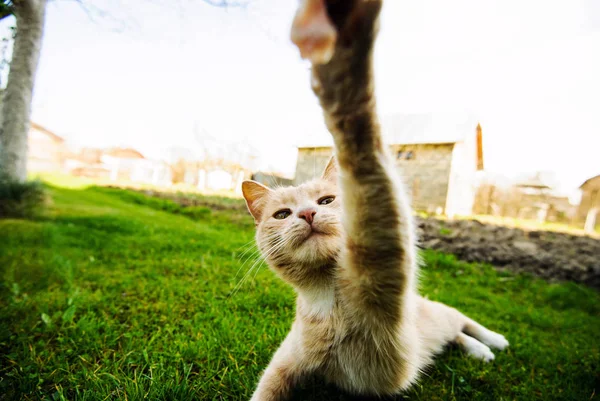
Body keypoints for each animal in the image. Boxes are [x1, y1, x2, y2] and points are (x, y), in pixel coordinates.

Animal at [241, 1, 508, 398]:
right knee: (454, 336)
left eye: (326, 201)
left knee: (462, 320)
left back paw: (491, 341)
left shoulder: (382, 257)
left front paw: (343, 63)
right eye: (283, 214)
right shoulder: (283, 367)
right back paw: (478, 349)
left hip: (437, 313)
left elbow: (364, 158)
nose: (306, 214)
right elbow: (267, 389)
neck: (326, 298)